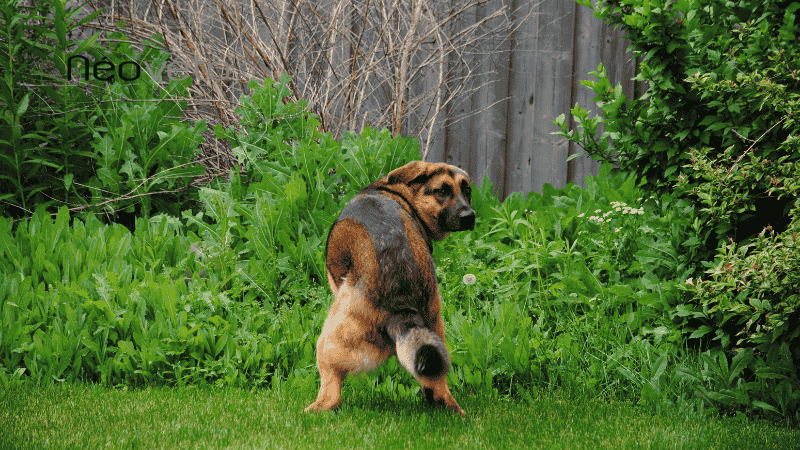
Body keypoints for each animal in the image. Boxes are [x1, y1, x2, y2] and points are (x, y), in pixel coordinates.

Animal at [304, 160, 472, 416]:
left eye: (466, 190)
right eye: (441, 191)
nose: (469, 216)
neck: (398, 193)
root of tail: (401, 306)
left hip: (328, 341)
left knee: (331, 397)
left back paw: (311, 411)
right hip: (436, 333)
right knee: (438, 385)